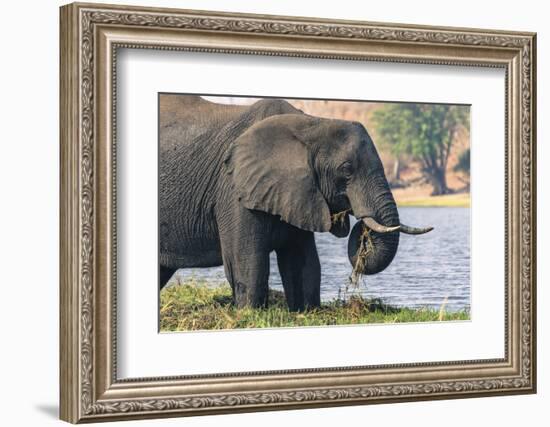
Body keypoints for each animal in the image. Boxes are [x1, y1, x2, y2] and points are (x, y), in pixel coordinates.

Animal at [160, 95, 436, 310]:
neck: (312, 124)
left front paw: (306, 312)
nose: (362, 229)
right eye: (346, 170)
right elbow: (247, 261)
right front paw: (249, 315)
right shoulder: (234, 189)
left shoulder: (297, 192)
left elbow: (303, 262)